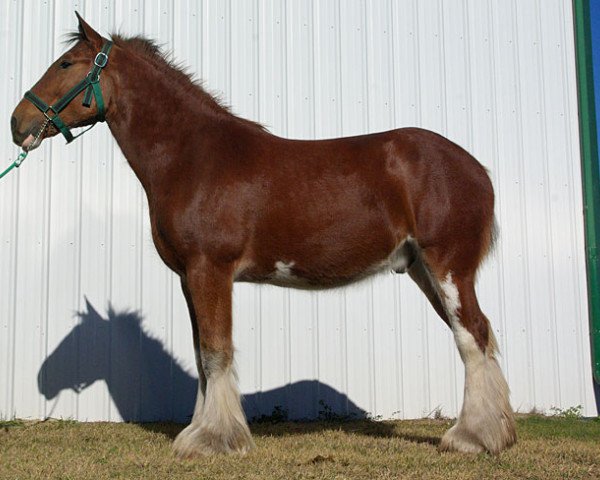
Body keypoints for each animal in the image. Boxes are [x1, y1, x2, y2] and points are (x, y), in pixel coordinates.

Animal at [9, 13, 516, 456]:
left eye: (65, 64)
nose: (17, 123)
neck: (192, 157)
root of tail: (477, 169)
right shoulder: (189, 277)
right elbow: (201, 356)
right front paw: (202, 431)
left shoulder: (210, 271)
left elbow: (216, 352)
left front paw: (213, 440)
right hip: (422, 271)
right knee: (479, 335)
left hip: (447, 268)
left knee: (471, 335)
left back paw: (472, 438)